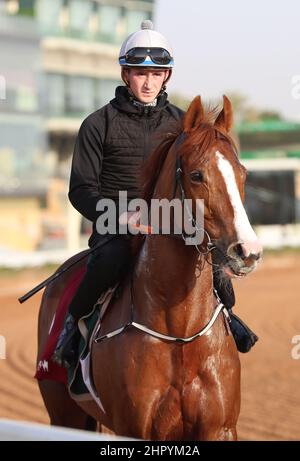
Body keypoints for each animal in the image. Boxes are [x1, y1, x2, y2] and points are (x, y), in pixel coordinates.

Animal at [37, 96, 262, 438]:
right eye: (196, 175)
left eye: (243, 173)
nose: (247, 251)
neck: (180, 332)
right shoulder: (135, 429)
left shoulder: (220, 428)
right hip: (63, 412)